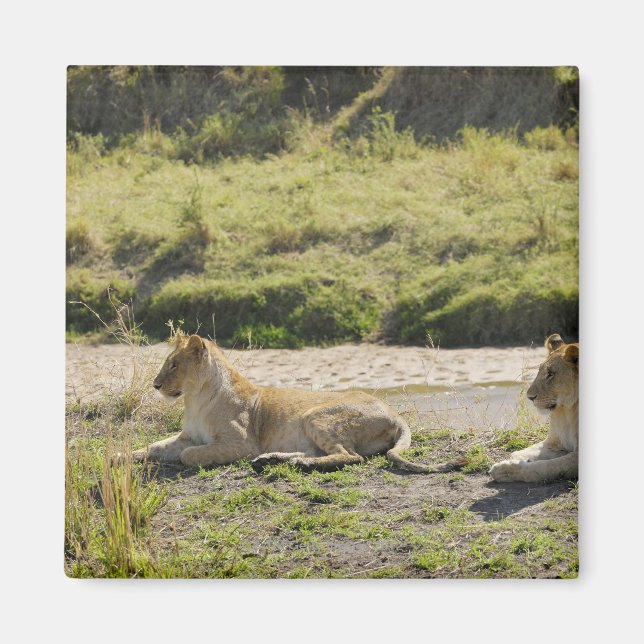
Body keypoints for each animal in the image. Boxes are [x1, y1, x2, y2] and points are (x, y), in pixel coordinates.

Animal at [133, 333, 454, 473]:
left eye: (174, 365)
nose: (155, 385)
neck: (194, 399)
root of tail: (394, 413)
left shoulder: (241, 444)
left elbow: (189, 455)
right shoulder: (186, 436)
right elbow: (155, 446)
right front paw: (124, 456)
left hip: (317, 416)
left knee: (350, 456)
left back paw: (298, 463)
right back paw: (272, 460)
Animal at [489, 333, 578, 483]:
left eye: (550, 374)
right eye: (539, 371)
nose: (530, 397)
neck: (567, 410)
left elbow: (546, 467)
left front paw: (505, 470)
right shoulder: (555, 443)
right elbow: (523, 451)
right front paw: (515, 458)